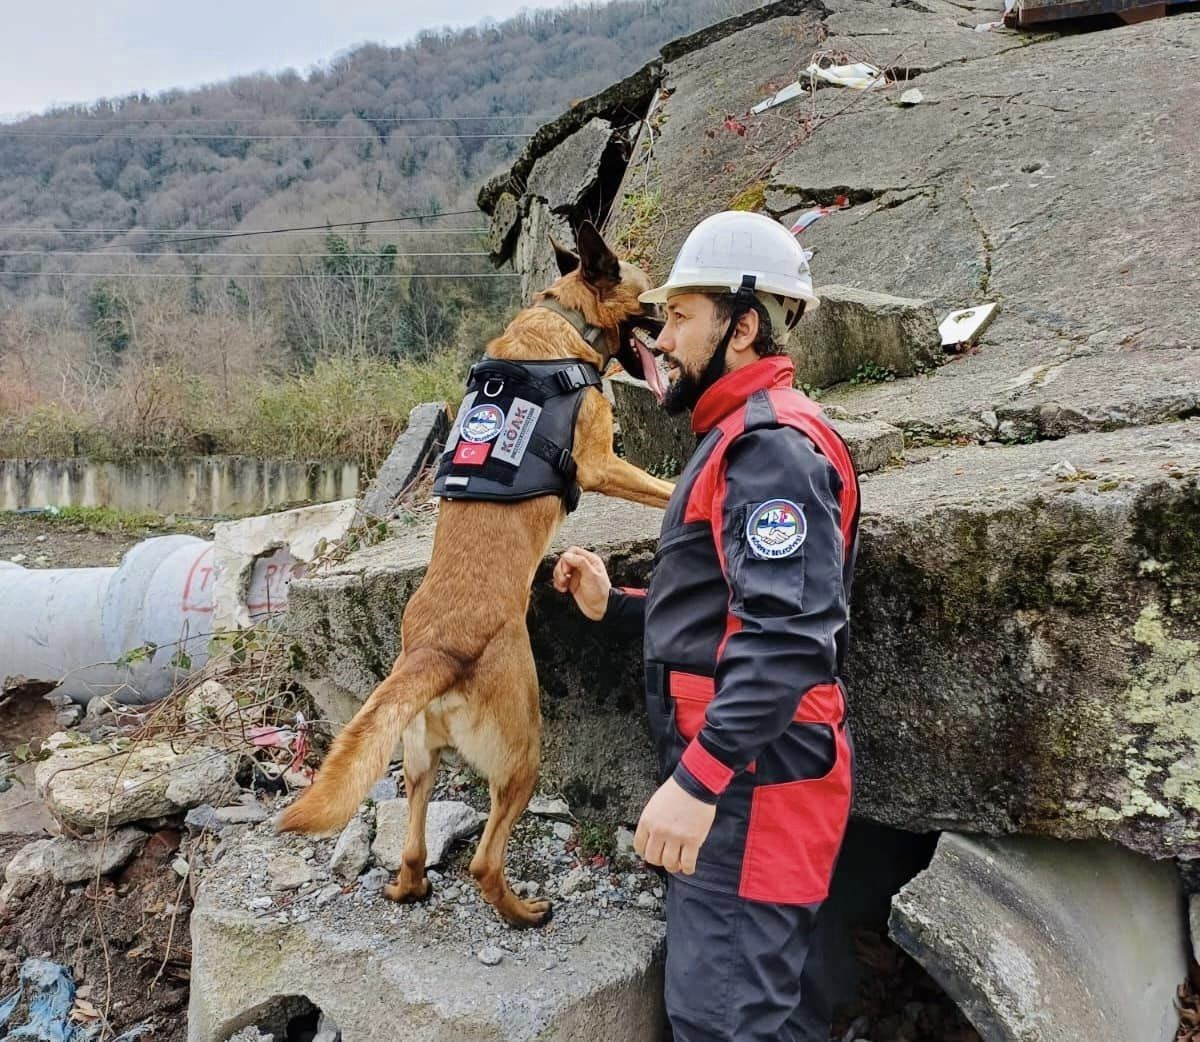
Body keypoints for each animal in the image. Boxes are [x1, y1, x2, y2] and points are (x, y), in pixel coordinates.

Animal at [278, 222, 676, 926]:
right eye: (644, 290)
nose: (669, 313)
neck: (561, 319)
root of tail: (433, 651)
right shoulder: (603, 464)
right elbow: (664, 486)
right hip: (521, 754)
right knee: (486, 861)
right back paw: (524, 912)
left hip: (418, 759)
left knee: (413, 846)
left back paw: (410, 888)